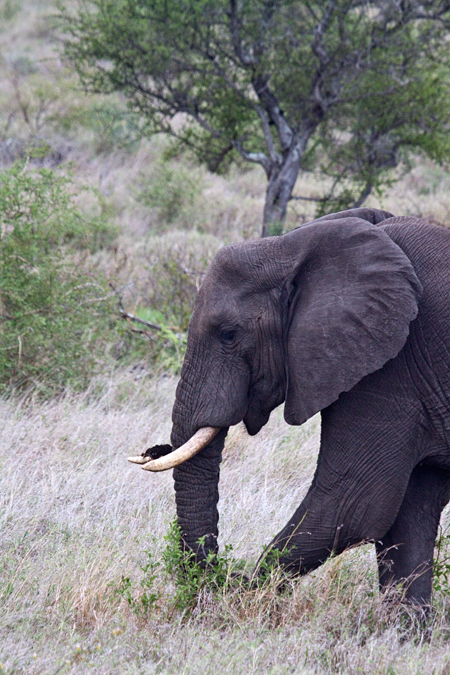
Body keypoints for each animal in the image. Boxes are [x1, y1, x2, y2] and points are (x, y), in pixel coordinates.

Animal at [129, 207, 450, 608]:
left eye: (229, 334)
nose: (151, 450)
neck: (293, 246)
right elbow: (409, 517)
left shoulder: (393, 364)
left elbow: (353, 504)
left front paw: (246, 597)